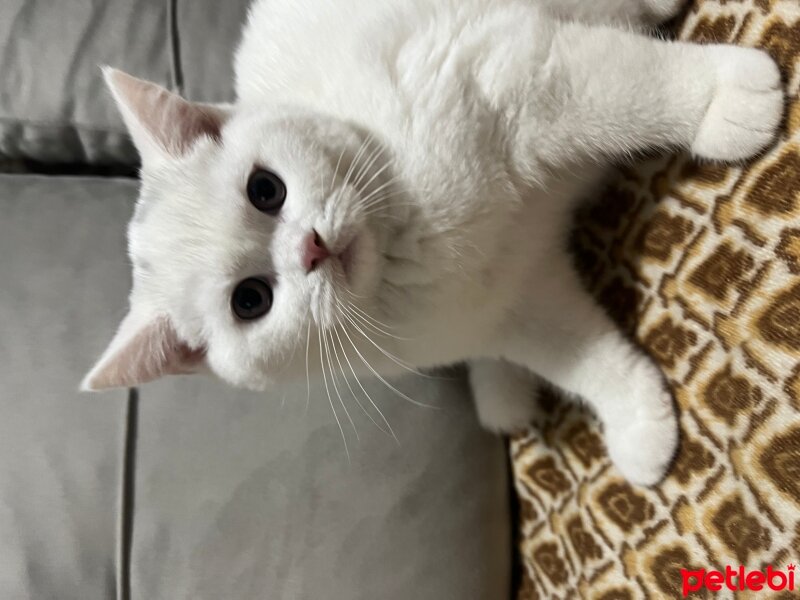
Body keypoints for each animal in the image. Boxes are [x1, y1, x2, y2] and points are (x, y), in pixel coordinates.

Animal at [81, 0, 780, 488]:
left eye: (265, 189)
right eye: (250, 300)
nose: (312, 249)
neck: (404, 248)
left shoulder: (515, 81)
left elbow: (629, 88)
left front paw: (724, 100)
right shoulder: (512, 308)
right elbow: (585, 362)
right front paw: (639, 423)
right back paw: (503, 395)